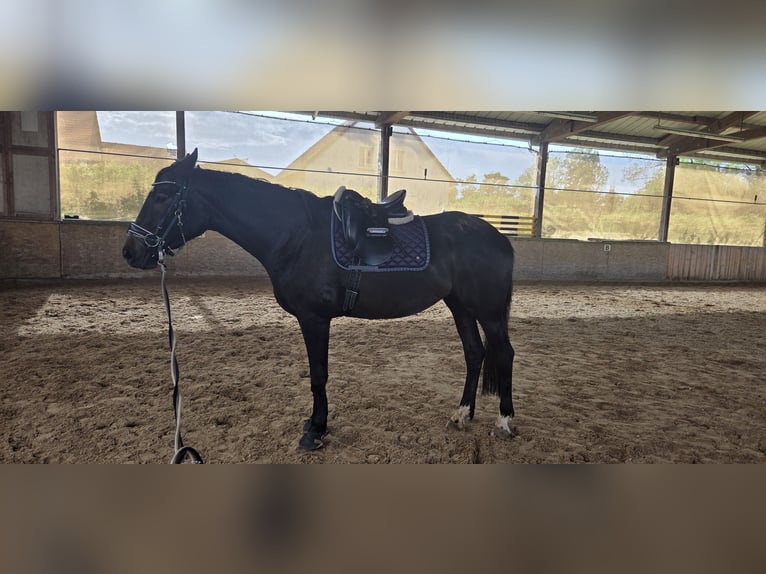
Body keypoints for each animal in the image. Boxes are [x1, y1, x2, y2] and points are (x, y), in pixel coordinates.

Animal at [122, 149, 517, 451]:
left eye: (162, 197)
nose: (130, 251)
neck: (295, 235)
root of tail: (497, 237)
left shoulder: (314, 319)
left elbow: (318, 375)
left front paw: (315, 429)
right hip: (460, 306)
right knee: (474, 354)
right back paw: (461, 415)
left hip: (489, 311)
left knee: (504, 354)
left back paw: (504, 421)